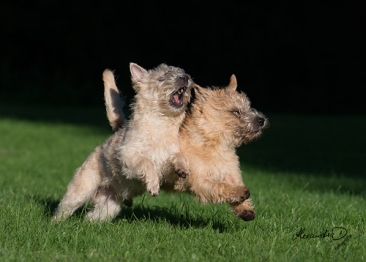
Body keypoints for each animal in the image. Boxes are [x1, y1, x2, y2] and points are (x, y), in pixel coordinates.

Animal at [53, 63, 194, 221]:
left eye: (182, 72)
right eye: (161, 77)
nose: (185, 77)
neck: (160, 125)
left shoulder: (166, 162)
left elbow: (178, 156)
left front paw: (183, 168)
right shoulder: (128, 156)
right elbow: (147, 162)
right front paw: (153, 186)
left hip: (109, 207)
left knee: (91, 217)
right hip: (80, 190)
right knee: (63, 208)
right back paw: (55, 223)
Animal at [104, 72, 268, 220]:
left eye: (248, 107)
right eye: (235, 111)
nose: (261, 120)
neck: (214, 145)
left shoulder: (230, 173)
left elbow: (234, 184)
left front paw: (246, 210)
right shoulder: (201, 182)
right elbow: (220, 187)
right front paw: (241, 193)